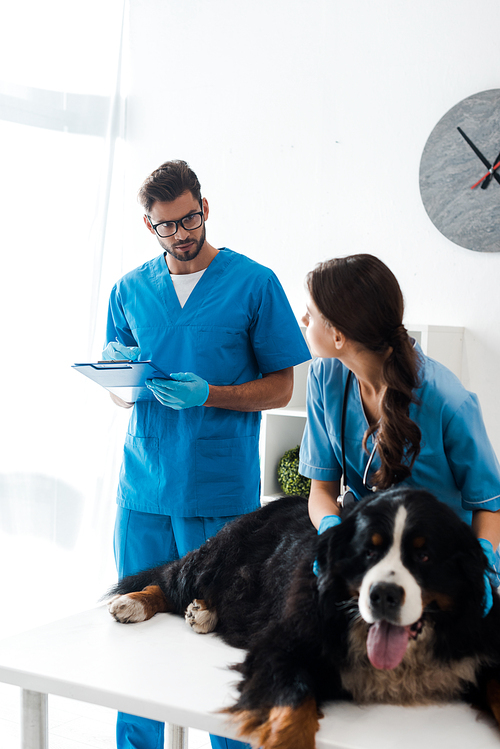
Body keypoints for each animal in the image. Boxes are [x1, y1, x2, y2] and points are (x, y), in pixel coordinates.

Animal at [104, 488, 500, 744]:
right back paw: (135, 602)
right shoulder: (285, 645)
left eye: (424, 556)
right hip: (216, 557)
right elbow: (291, 704)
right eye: (367, 552)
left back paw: (204, 611)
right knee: (171, 578)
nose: (383, 595)